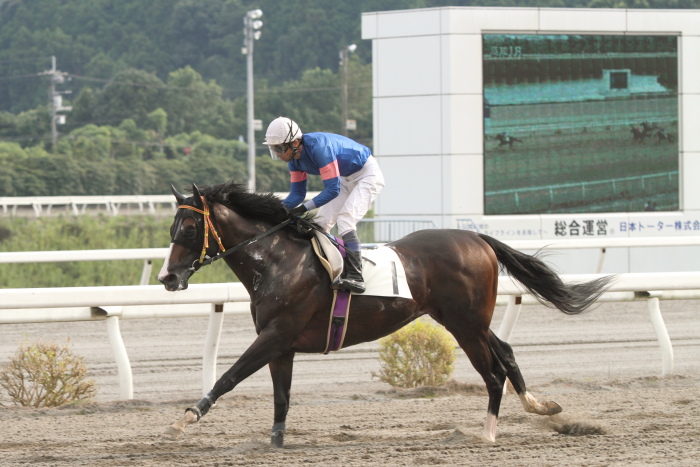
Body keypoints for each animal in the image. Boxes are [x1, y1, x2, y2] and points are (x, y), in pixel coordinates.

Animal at [157, 181, 612, 448]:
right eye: (171, 229)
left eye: (190, 230)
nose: (167, 277)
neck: (276, 260)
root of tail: (476, 237)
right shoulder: (281, 344)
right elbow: (281, 397)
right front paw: (276, 442)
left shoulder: (275, 334)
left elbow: (228, 377)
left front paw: (184, 419)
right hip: (468, 321)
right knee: (508, 351)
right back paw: (541, 406)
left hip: (466, 326)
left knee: (494, 372)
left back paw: (487, 434)